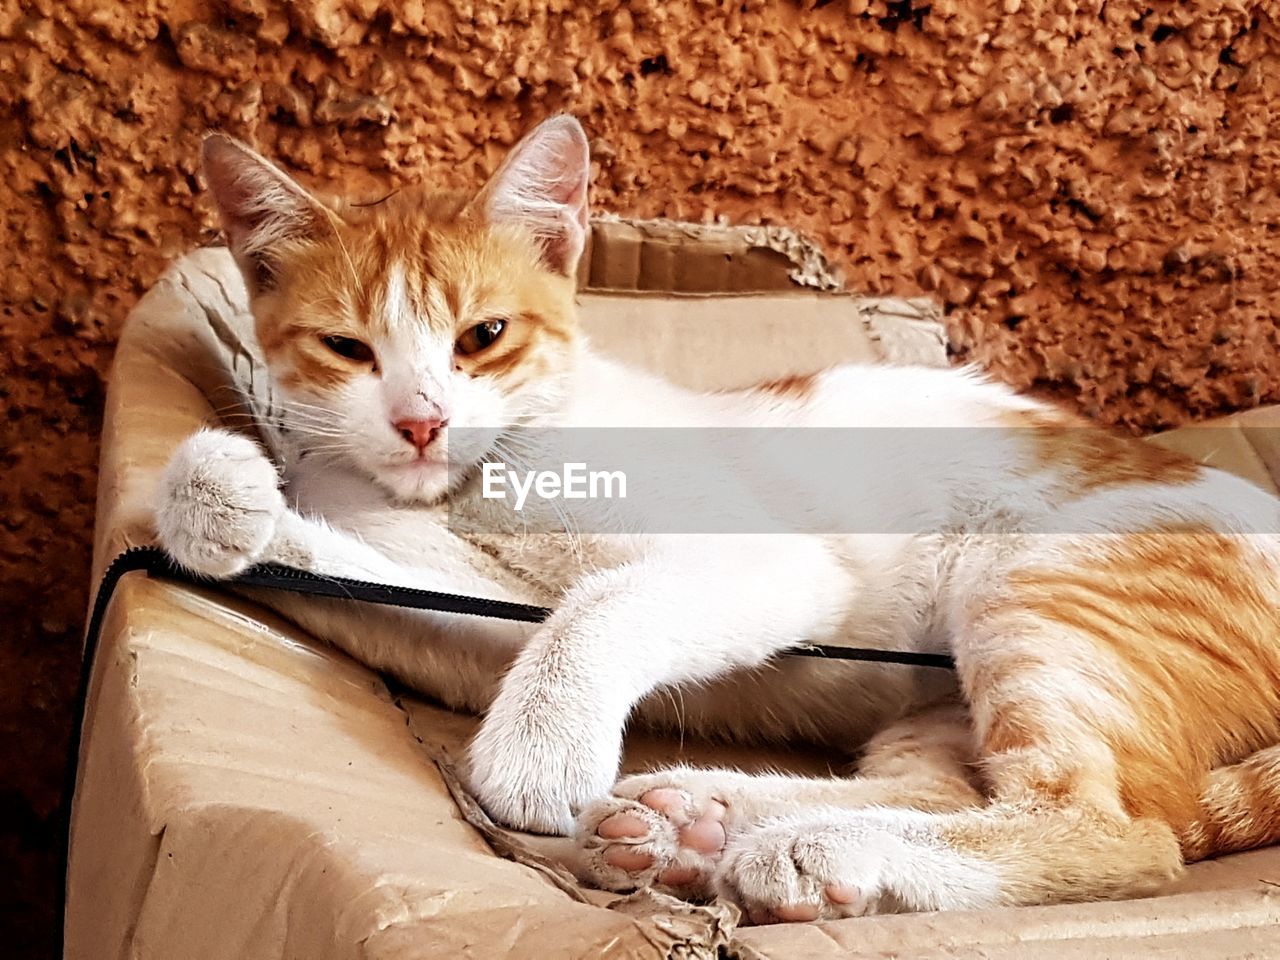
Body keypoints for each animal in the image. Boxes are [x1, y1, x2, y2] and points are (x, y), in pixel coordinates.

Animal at [154, 116, 1280, 921]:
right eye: (348, 348)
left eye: (484, 336)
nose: (421, 421)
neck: (487, 479)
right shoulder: (474, 609)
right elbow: (414, 580)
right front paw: (220, 504)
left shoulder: (767, 564)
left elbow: (604, 602)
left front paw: (537, 752)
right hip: (942, 699)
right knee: (966, 795)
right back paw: (697, 820)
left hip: (1046, 585)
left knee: (1121, 830)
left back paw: (796, 847)